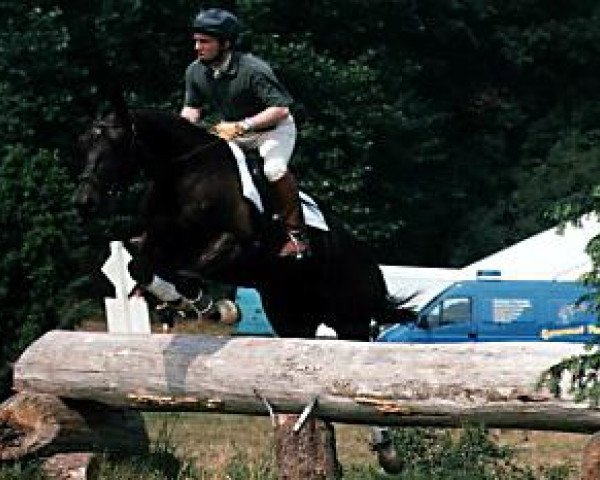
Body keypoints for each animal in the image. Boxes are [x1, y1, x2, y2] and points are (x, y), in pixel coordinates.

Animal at [74, 101, 412, 342]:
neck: (186, 175)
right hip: (291, 315)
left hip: (351, 319)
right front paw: (175, 303)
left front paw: (213, 308)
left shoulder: (236, 245)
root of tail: (372, 267)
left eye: (117, 143)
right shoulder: (156, 239)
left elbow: (191, 269)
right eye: (84, 143)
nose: (84, 201)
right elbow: (139, 267)